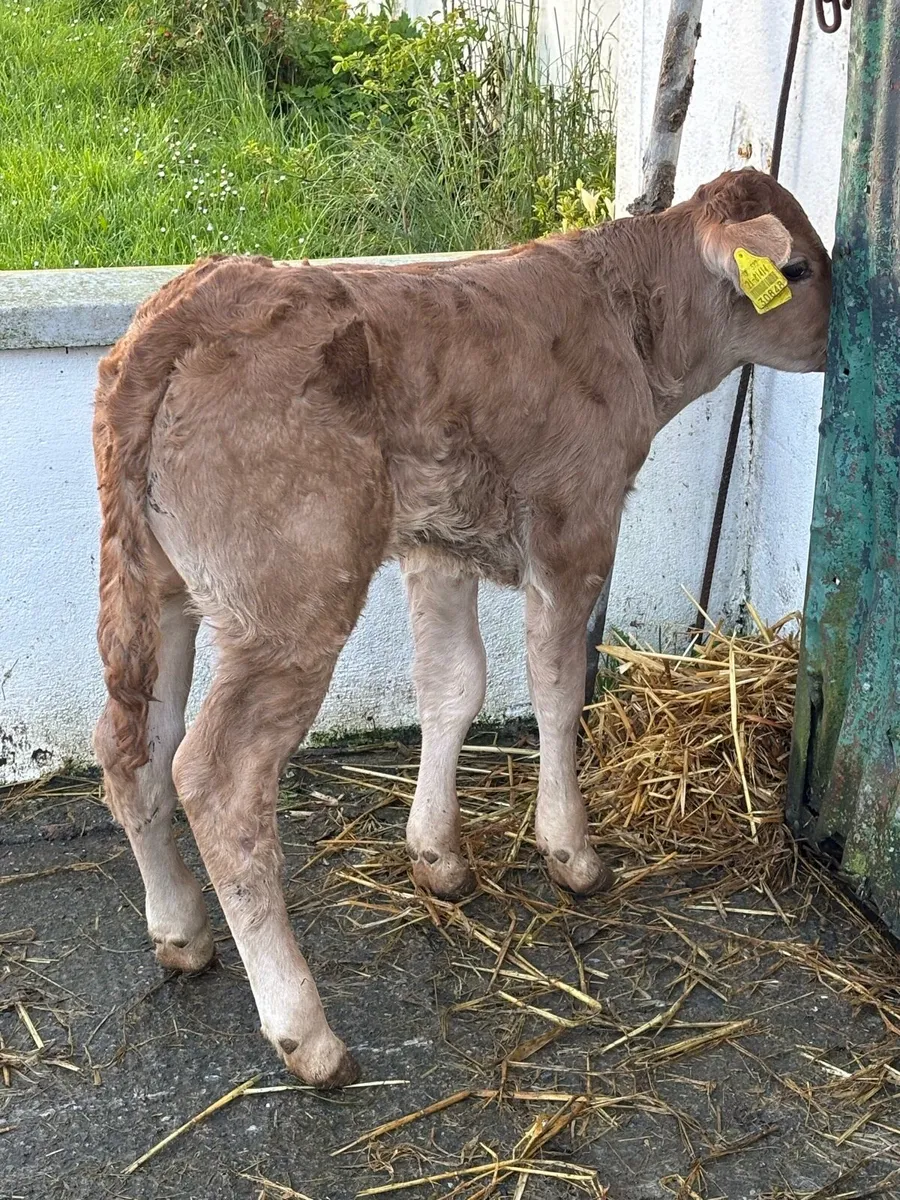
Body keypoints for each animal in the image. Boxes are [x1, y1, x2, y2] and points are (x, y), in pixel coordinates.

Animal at [91, 168, 831, 1087]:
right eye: (797, 270)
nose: (839, 336)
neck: (627, 320)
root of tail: (190, 304)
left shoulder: (436, 545)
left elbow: (454, 685)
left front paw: (437, 855)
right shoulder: (573, 528)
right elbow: (557, 688)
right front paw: (570, 852)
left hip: (153, 586)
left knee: (132, 743)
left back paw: (182, 932)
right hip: (289, 601)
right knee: (217, 777)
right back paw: (305, 1031)